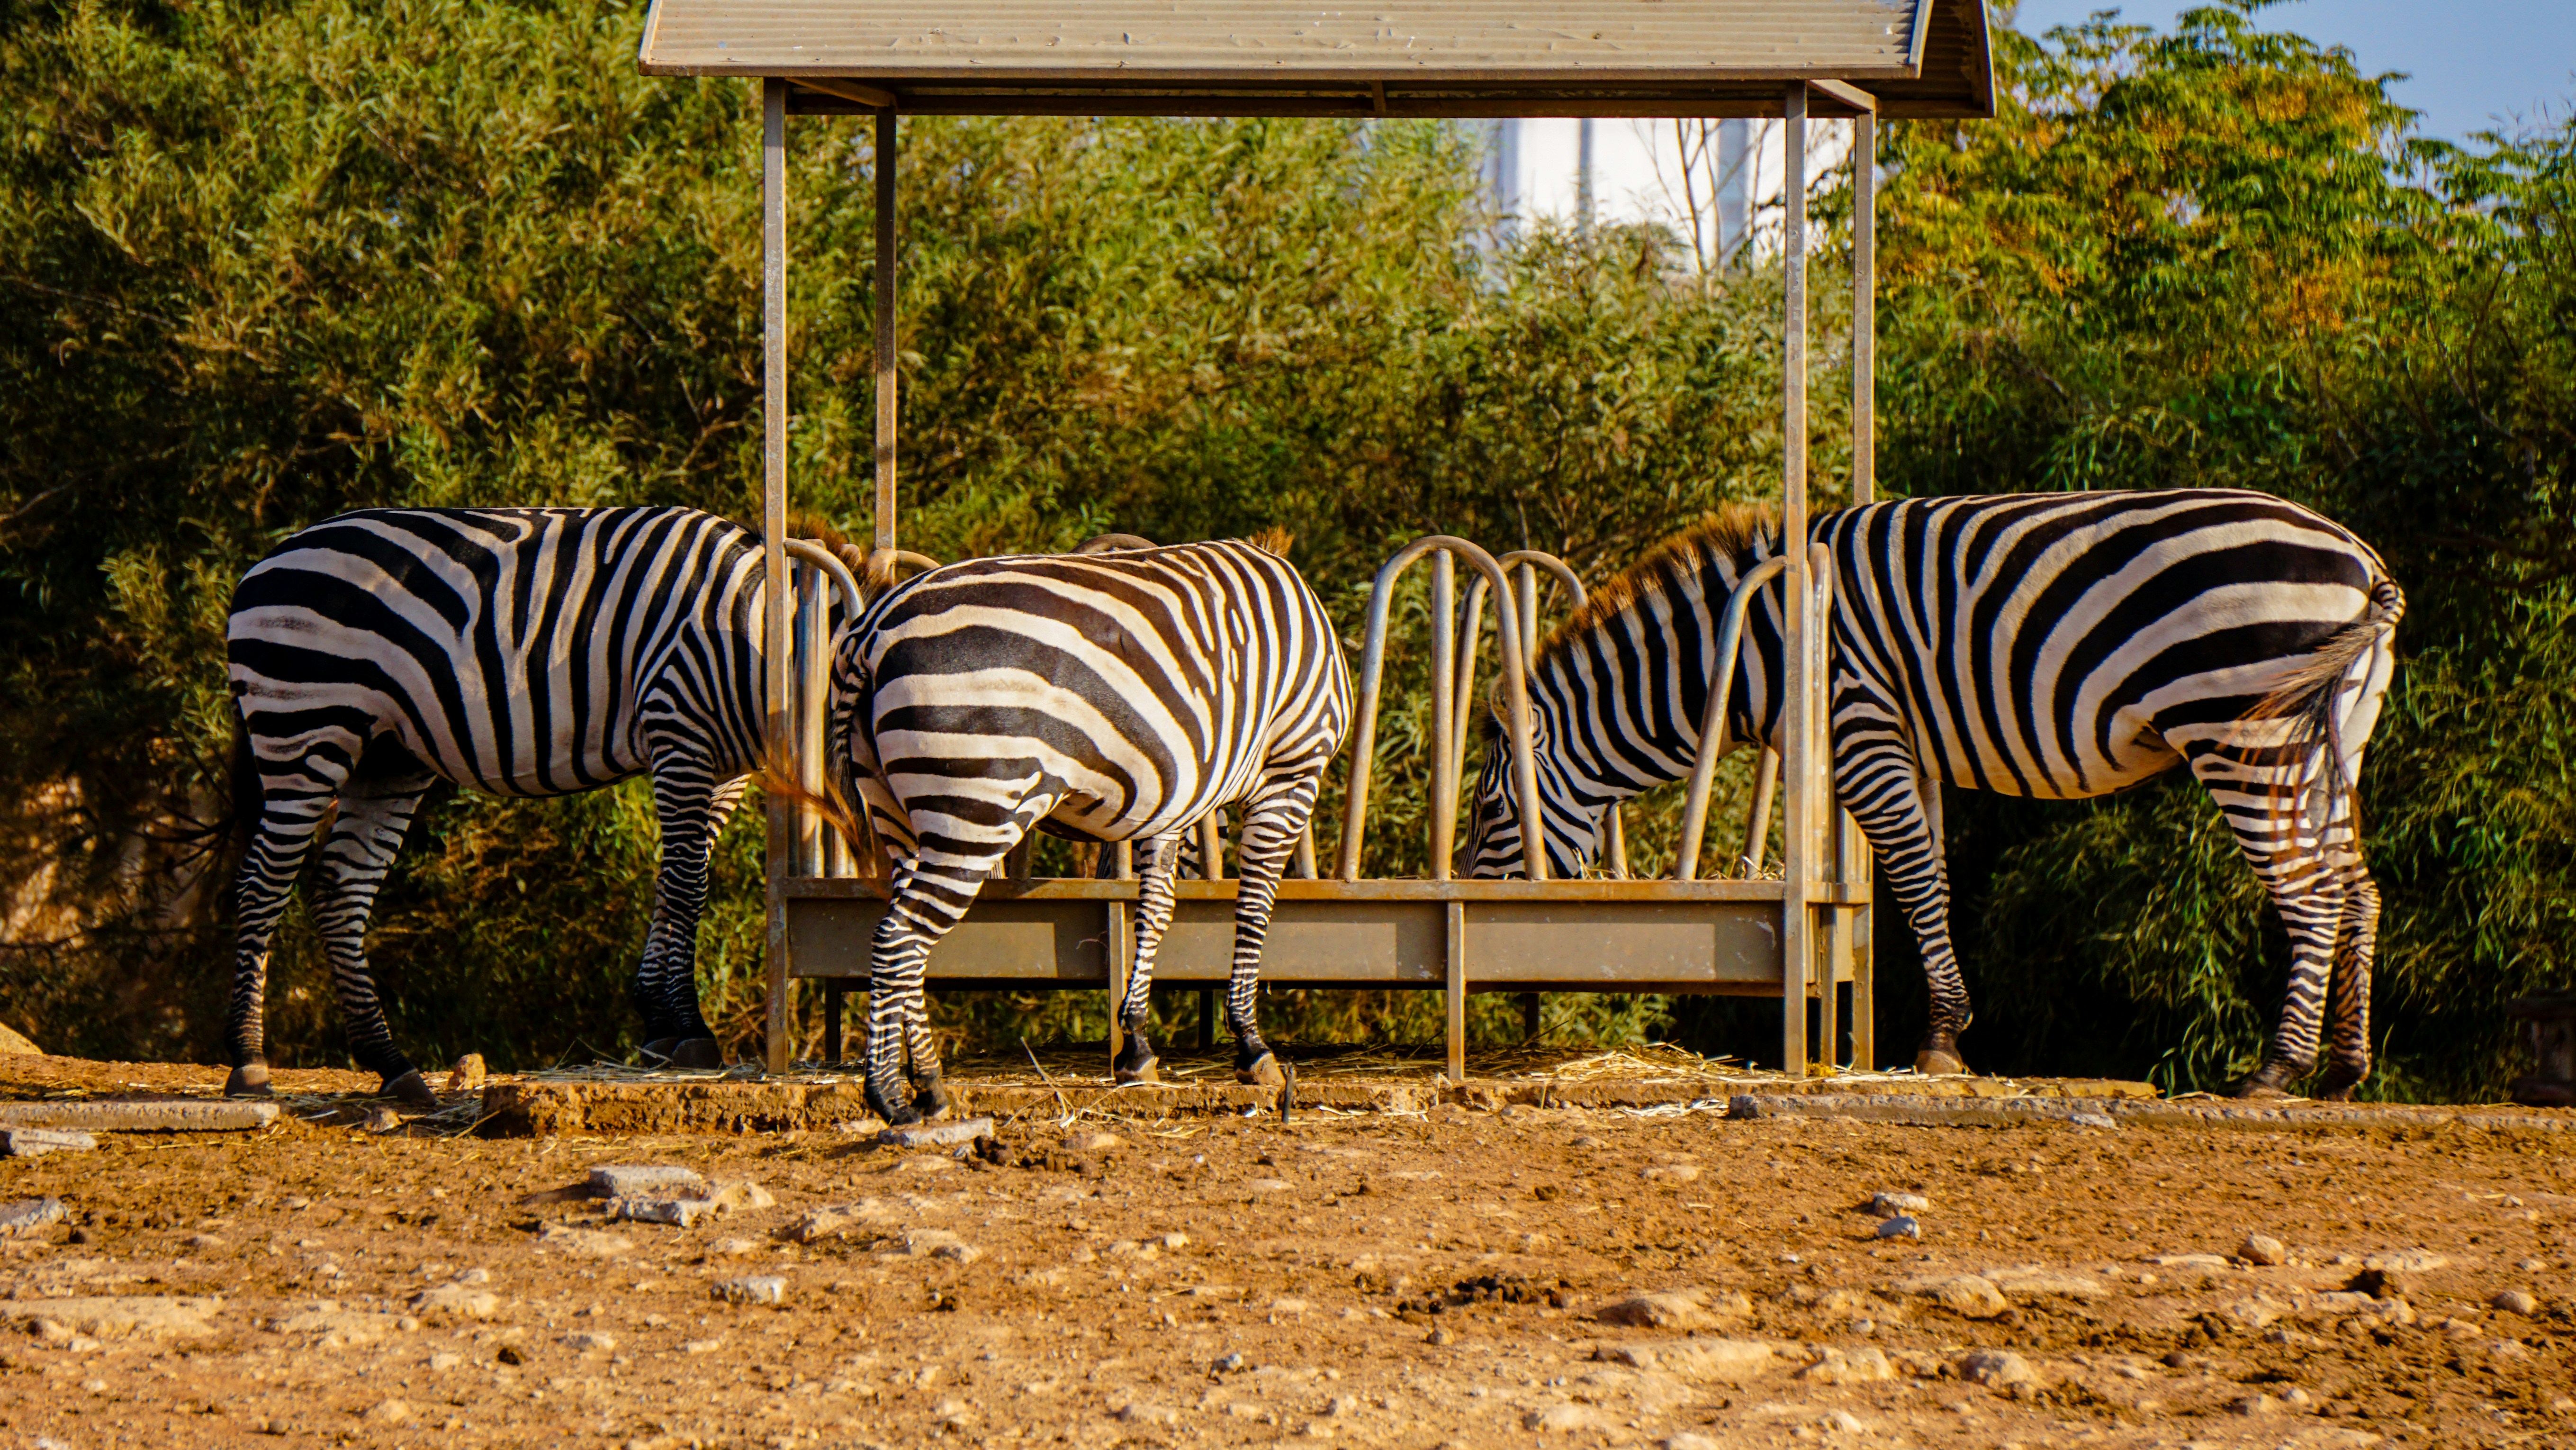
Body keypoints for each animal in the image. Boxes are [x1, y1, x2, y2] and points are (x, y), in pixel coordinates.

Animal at [223, 506, 815, 1103]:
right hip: (305, 723)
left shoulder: (724, 769)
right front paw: (687, 1027)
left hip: (386, 758)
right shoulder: (678, 730)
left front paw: (659, 1022)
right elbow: (688, 886)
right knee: (261, 885)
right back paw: (249, 1061)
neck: (755, 635)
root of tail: (267, 560)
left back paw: (392, 1064)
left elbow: (673, 880)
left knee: (338, 890)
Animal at [798, 534, 1351, 1126]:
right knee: (898, 937)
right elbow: (1254, 908)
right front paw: (1251, 1044)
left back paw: (929, 1085)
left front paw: (1136, 1047)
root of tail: (873, 631)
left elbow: (1155, 911)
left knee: (901, 935)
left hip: (895, 811)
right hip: (977, 802)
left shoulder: (1171, 794)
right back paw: (892, 1096)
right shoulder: (1292, 769)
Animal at [1462, 489, 2404, 1099]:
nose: (1472, 908)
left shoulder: (1858, 720)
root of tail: (2362, 563)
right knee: (2357, 889)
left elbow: (1914, 880)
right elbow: (1933, 881)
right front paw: (1940, 1033)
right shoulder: (1906, 741)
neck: (1762, 643)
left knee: (2311, 893)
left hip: (2242, 728)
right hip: (2334, 734)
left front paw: (1941, 1041)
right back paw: (2345, 1070)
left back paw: (2276, 1071)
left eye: (1487, 812)